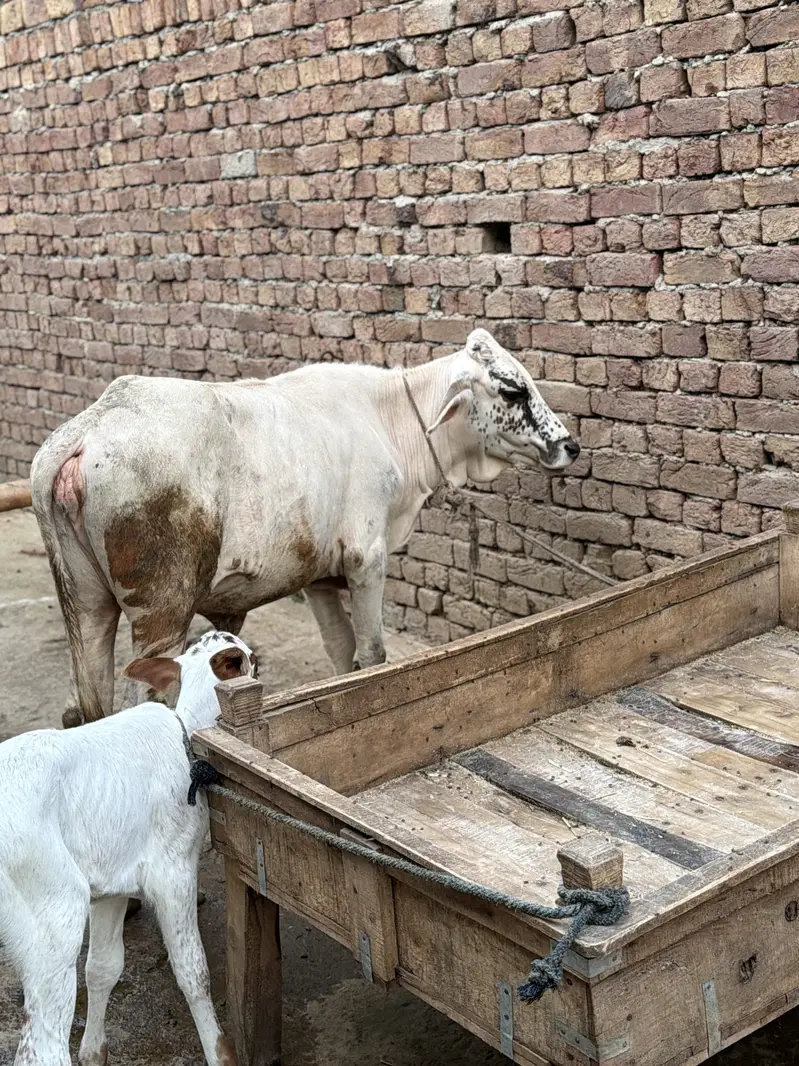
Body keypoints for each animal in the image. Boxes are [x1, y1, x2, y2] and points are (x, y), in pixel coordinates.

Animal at [31, 329, 579, 728]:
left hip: (87, 607)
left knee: (89, 703)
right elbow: (372, 652)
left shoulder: (318, 576)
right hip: (161, 613)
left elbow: (340, 651)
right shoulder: (366, 559)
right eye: (513, 389)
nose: (570, 446)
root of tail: (91, 427)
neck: (389, 419)